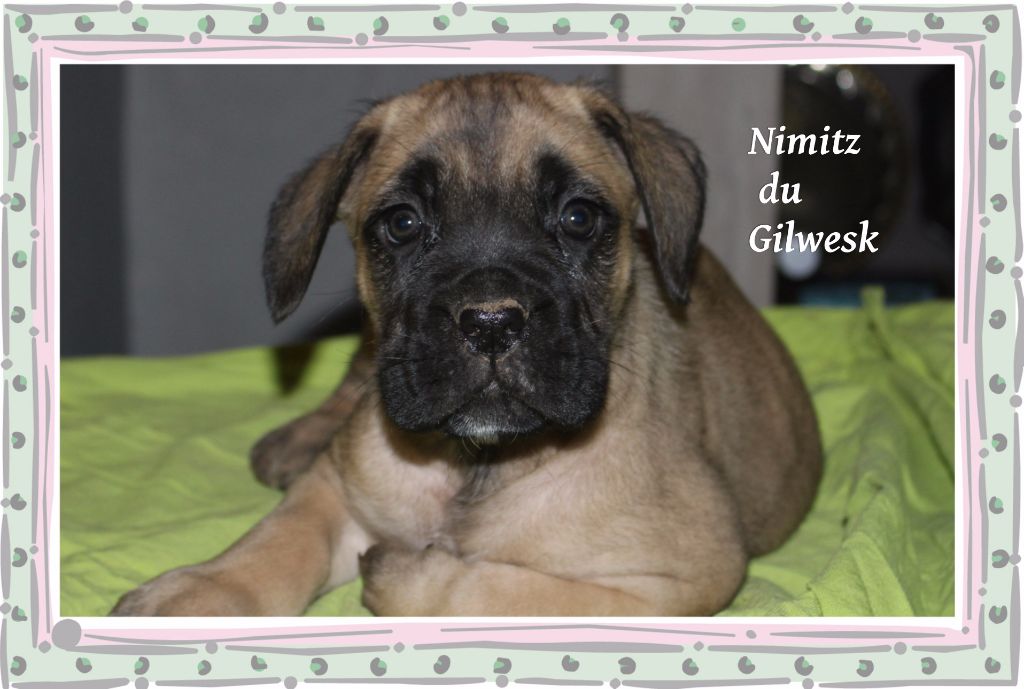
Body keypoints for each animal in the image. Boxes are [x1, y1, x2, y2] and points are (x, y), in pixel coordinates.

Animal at [112, 72, 822, 616]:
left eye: (578, 218)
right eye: (402, 224)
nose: (490, 323)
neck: (474, 462)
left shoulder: (672, 582)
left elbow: (503, 591)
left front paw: (405, 573)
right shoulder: (335, 491)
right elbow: (277, 539)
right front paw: (201, 591)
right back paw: (299, 438)